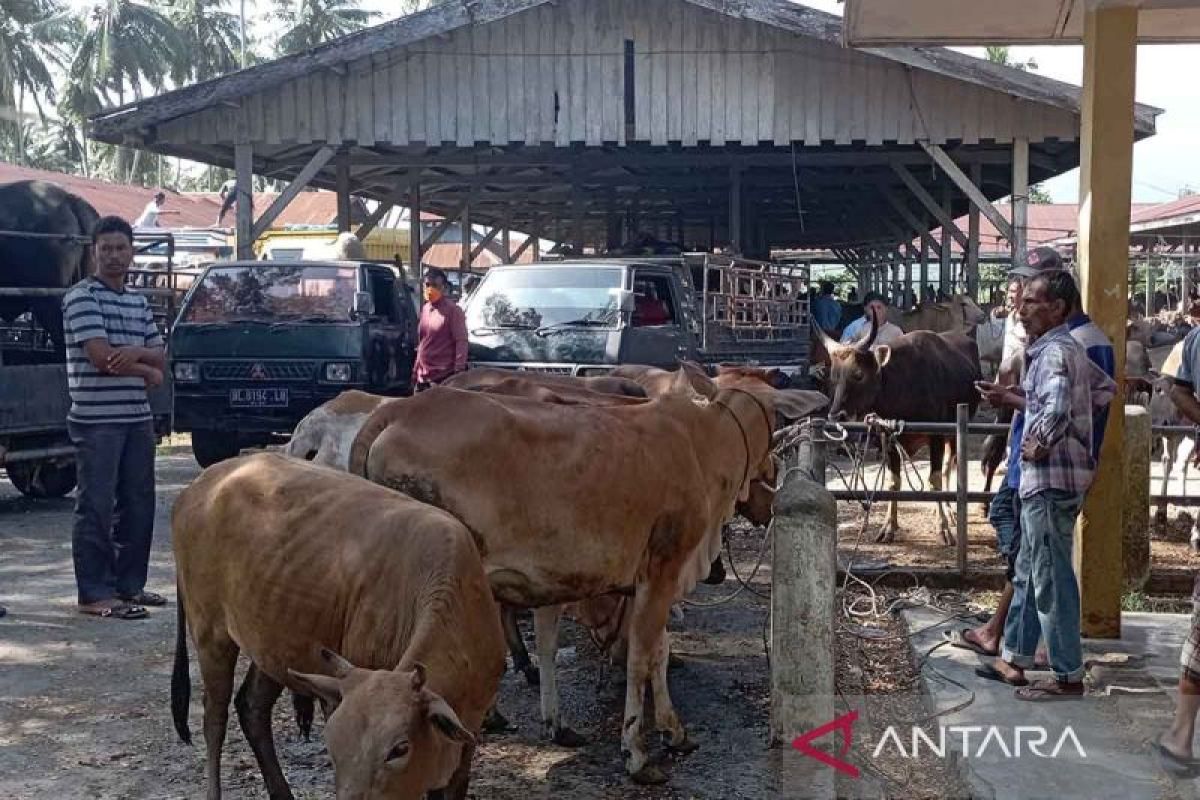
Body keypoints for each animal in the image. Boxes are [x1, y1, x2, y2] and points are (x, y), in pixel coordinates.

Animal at [170, 453, 506, 800]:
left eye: (399, 749)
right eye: (333, 746)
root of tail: (201, 484)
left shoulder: (469, 731)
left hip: (271, 642)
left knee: (251, 707)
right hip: (210, 630)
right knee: (214, 716)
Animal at [343, 374, 820, 782]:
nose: (772, 476)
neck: (700, 443)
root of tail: (399, 409)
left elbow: (648, 650)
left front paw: (667, 730)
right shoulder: (662, 570)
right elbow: (642, 655)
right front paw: (637, 752)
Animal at [820, 316, 979, 542]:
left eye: (858, 374)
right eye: (834, 376)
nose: (836, 416)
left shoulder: (937, 436)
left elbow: (935, 480)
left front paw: (943, 527)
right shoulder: (888, 439)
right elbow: (893, 482)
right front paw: (888, 526)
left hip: (954, 434)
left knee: (948, 467)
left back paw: (948, 510)